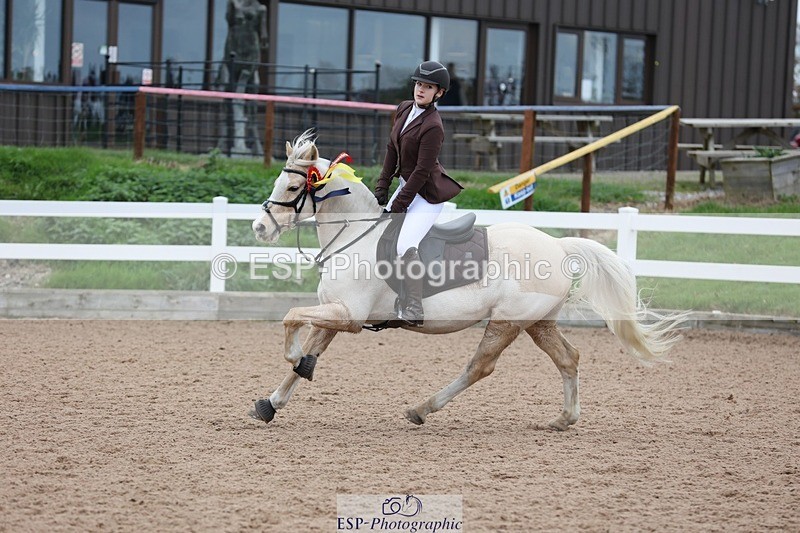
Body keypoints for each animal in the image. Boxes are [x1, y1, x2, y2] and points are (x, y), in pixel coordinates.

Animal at [250, 130, 683, 430]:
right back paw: (564, 419)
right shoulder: (333, 314)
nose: (259, 228)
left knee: (480, 367)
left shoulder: (348, 316)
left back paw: (421, 409)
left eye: (294, 186)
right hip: (538, 323)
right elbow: (308, 349)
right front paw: (272, 403)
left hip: (506, 322)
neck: (355, 233)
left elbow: (290, 318)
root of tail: (559, 246)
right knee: (568, 358)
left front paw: (294, 358)